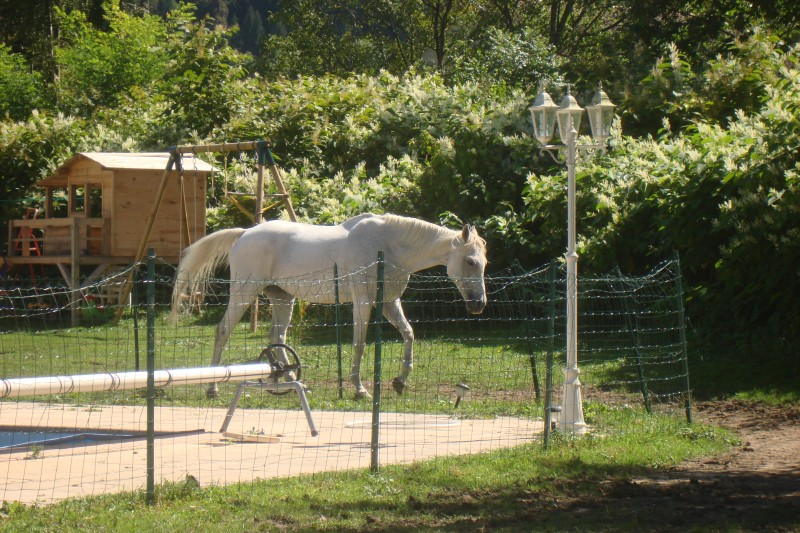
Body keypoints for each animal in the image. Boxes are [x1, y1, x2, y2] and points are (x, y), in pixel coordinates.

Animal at [170, 214, 488, 396]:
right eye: (471, 262)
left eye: (484, 263)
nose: (479, 305)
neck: (387, 246)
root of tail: (245, 234)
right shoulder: (363, 301)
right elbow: (359, 344)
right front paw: (359, 389)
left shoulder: (389, 302)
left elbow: (409, 334)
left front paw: (400, 380)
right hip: (244, 293)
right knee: (223, 331)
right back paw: (212, 387)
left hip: (282, 298)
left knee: (277, 335)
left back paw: (288, 379)